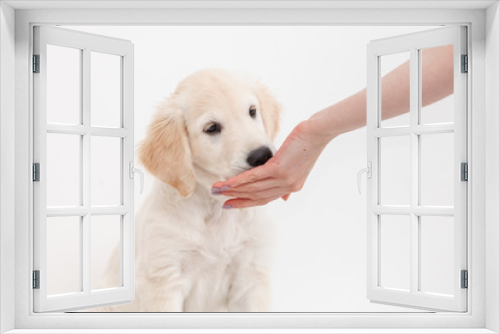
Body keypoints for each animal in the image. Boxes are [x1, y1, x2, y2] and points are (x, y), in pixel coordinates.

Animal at [95, 69, 280, 312]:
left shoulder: (251, 275)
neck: (216, 210)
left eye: (252, 111)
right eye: (212, 128)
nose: (262, 156)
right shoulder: (163, 280)